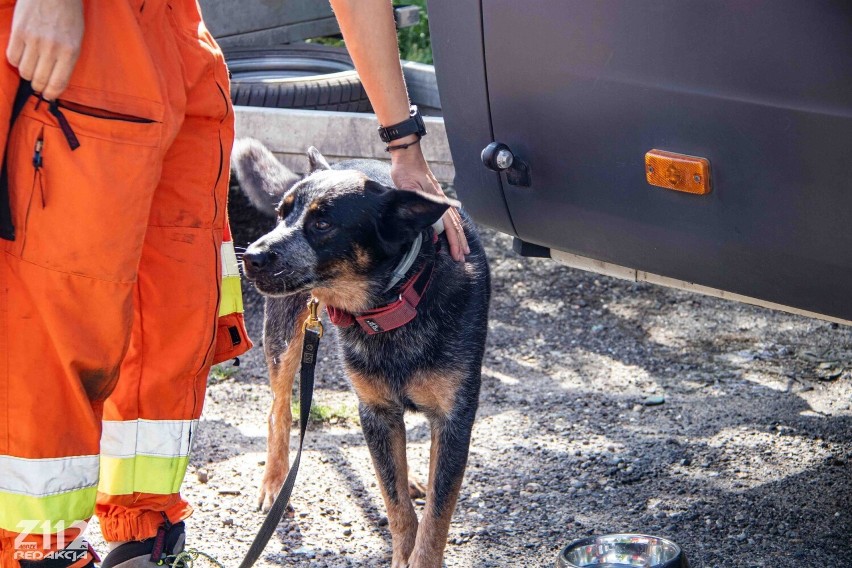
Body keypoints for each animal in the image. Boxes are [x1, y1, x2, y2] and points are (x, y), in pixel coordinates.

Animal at [231, 139, 492, 568]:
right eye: (282, 215)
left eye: (323, 224)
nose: (250, 256)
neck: (397, 300)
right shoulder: (375, 412)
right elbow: (397, 506)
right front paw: (403, 556)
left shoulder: (454, 419)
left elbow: (436, 515)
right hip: (286, 339)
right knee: (278, 410)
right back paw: (275, 481)